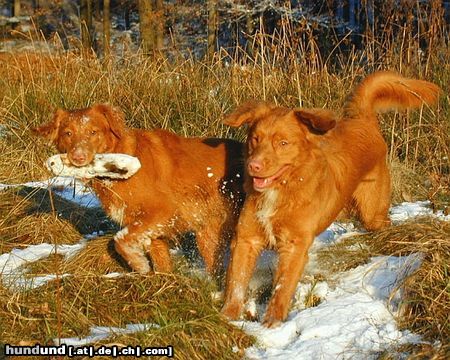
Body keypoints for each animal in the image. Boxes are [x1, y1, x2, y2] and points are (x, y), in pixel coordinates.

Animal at [32, 105, 243, 274]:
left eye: (93, 132)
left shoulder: (163, 211)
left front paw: (139, 264)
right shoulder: (150, 229)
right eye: (68, 133)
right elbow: (160, 261)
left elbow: (120, 240)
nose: (78, 157)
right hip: (208, 235)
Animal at [221, 70, 440, 326]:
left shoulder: (294, 247)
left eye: (283, 143)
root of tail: (363, 120)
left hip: (372, 212)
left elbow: (281, 288)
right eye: (255, 138)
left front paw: (272, 323)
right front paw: (228, 316)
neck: (283, 191)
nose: (253, 165)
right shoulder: (246, 239)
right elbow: (236, 283)